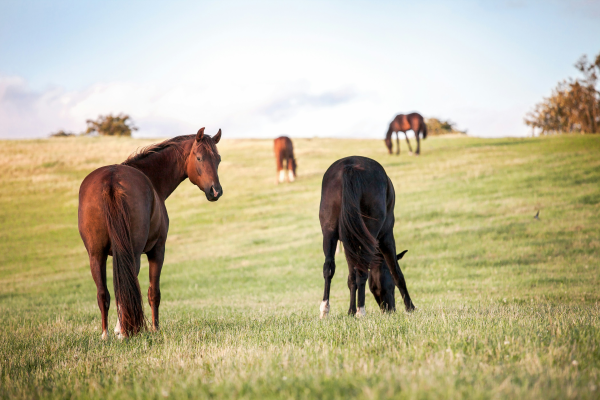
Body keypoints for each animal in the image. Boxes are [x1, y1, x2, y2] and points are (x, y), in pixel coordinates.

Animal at [77, 127, 223, 338]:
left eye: (218, 159)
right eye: (199, 158)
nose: (215, 191)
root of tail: (111, 180)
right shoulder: (158, 250)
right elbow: (153, 293)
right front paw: (154, 328)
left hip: (96, 255)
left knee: (103, 293)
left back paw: (106, 334)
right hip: (133, 253)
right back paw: (124, 331)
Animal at [316, 155, 414, 318]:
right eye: (391, 287)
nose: (389, 309)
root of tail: (350, 167)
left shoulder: (349, 243)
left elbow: (351, 278)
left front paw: (350, 311)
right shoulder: (386, 237)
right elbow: (396, 272)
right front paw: (410, 307)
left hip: (329, 233)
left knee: (328, 268)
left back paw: (325, 310)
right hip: (372, 233)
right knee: (362, 271)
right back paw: (361, 311)